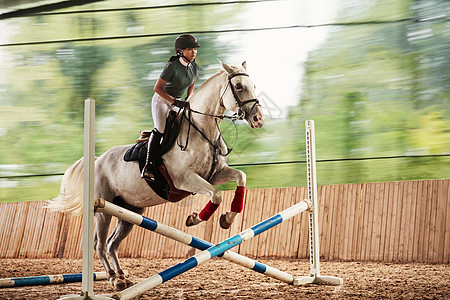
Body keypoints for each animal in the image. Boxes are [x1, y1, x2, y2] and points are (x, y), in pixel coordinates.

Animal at [46, 60, 264, 288]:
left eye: (253, 85)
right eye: (238, 86)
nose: (258, 119)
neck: (203, 131)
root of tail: (97, 160)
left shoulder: (214, 174)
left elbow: (240, 177)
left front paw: (227, 218)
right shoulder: (185, 179)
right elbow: (216, 195)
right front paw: (194, 219)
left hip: (131, 211)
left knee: (112, 243)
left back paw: (122, 275)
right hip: (103, 209)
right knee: (100, 244)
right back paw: (114, 279)